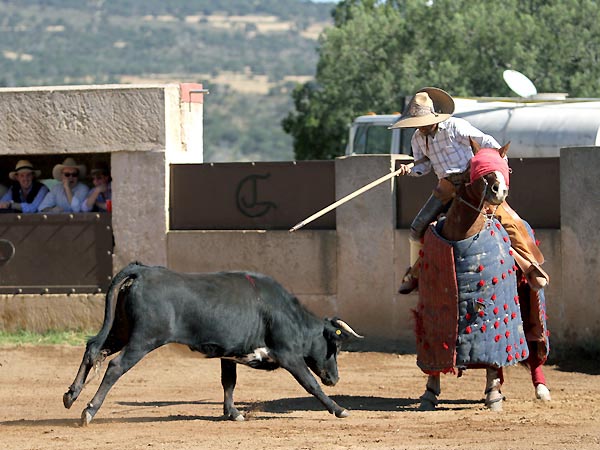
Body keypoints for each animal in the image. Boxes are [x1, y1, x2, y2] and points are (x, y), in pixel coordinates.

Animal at [62, 262, 360, 424]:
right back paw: (89, 411)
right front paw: (339, 409)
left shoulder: (229, 354)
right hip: (143, 339)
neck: (287, 314)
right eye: (336, 347)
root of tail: (142, 271)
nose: (335, 378)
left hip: (120, 331)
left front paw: (233, 413)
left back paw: (70, 395)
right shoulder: (289, 355)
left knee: (93, 349)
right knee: (114, 366)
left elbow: (229, 382)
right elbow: (310, 384)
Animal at [412, 142, 536, 412]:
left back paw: (539, 389)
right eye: (477, 167)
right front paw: (429, 393)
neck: (463, 233)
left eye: (501, 166)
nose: (499, 191)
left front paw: (493, 396)